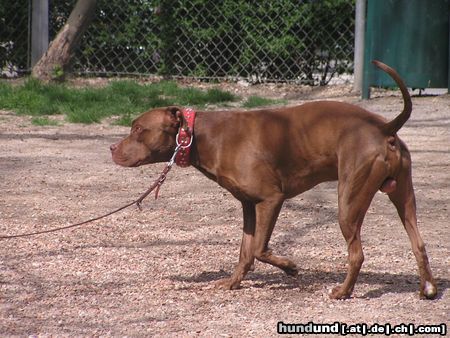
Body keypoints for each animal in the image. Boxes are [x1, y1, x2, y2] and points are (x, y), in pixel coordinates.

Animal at [110, 60, 438, 298]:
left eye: (138, 129)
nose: (112, 148)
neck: (201, 135)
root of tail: (383, 127)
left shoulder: (271, 199)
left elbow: (258, 248)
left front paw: (290, 268)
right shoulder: (249, 205)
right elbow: (245, 251)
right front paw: (233, 282)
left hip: (349, 202)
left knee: (356, 253)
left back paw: (343, 292)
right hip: (403, 197)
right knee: (419, 243)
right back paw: (428, 289)